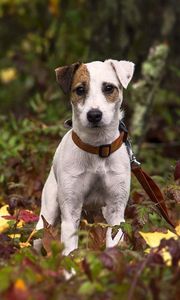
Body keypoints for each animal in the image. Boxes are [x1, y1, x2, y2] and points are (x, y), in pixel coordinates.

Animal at [34, 59, 135, 255]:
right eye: (80, 89)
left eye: (108, 88)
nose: (94, 114)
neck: (98, 148)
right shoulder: (70, 211)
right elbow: (69, 249)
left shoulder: (116, 211)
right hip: (47, 212)